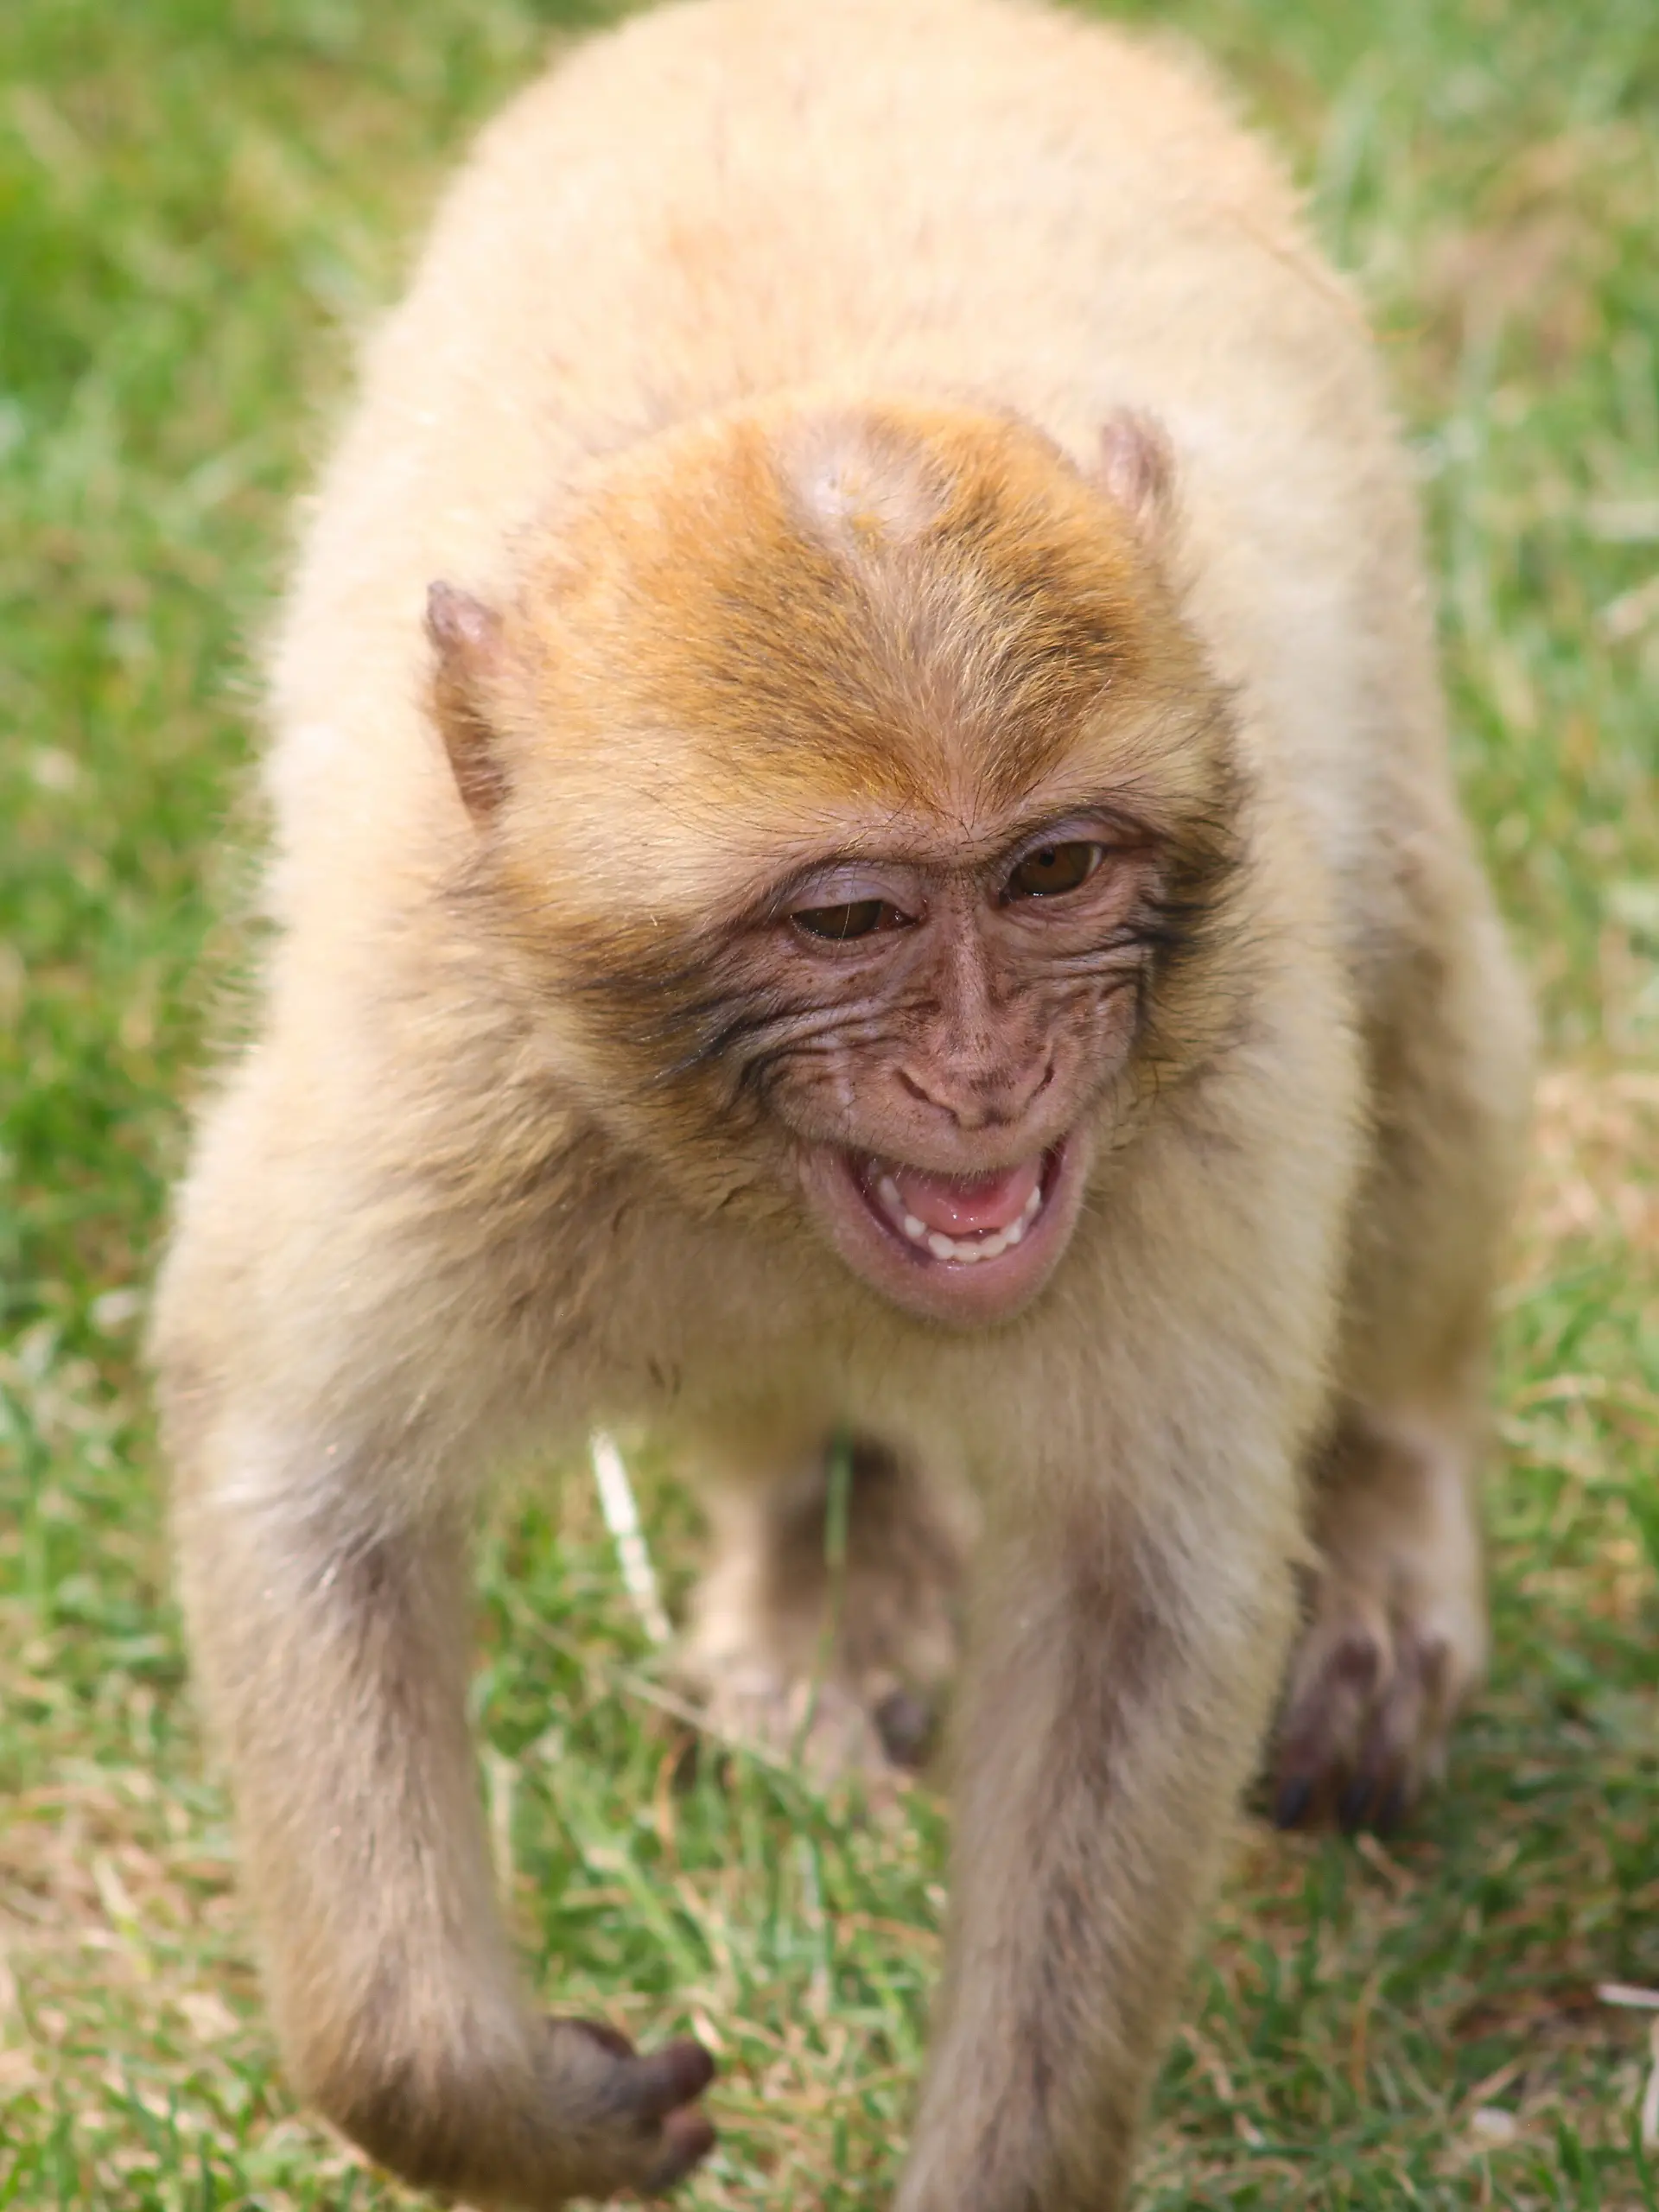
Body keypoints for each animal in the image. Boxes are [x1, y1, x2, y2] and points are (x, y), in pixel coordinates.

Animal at [149, 0, 1534, 2205]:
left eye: (1053, 870)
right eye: (851, 914)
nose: (989, 1069)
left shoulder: (1216, 1103)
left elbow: (1132, 1600)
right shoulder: (431, 1078)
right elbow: (297, 1477)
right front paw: (487, 2097)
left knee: (1405, 968)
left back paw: (1388, 1497)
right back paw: (821, 1545)